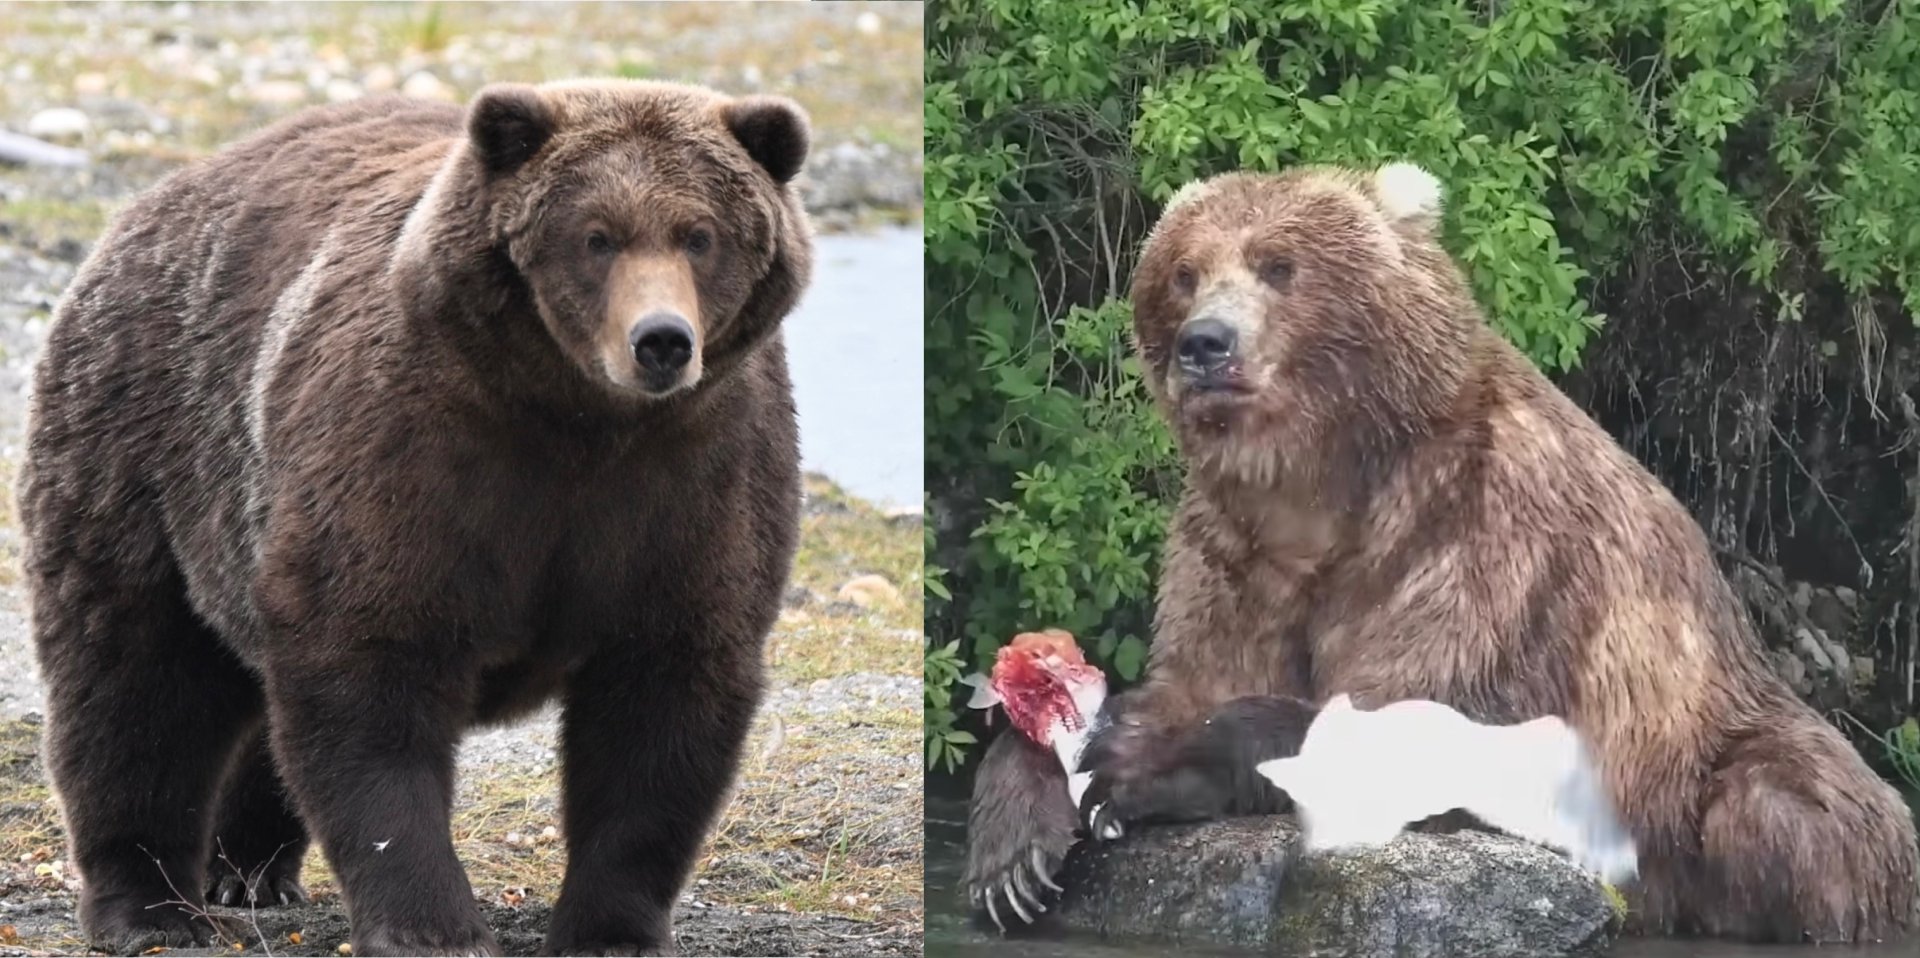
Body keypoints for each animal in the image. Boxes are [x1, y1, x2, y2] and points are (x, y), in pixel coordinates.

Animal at [20, 79, 813, 957]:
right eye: (596, 236)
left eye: (700, 234)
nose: (661, 341)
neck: (578, 420)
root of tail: (151, 202)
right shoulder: (414, 455)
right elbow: (370, 671)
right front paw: (432, 925)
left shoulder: (692, 483)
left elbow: (664, 699)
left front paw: (610, 928)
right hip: (148, 453)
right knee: (134, 678)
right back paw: (151, 907)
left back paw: (250, 867)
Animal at [964, 162, 1920, 944]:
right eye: (1184, 271)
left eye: (1279, 265)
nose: (1207, 343)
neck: (1322, 484)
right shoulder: (1234, 551)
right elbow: (1194, 672)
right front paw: (1016, 852)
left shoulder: (1477, 534)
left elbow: (1421, 717)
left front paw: (1140, 760)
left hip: (1723, 754)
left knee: (1780, 814)